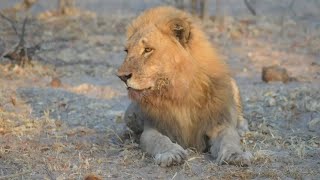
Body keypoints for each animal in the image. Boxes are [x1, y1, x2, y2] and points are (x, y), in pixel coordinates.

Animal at [116, 7, 251, 167]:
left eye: (147, 49)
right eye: (127, 51)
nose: (121, 76)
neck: (179, 93)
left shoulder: (219, 124)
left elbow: (229, 140)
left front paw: (236, 155)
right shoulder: (153, 128)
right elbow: (160, 141)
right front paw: (171, 154)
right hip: (130, 113)